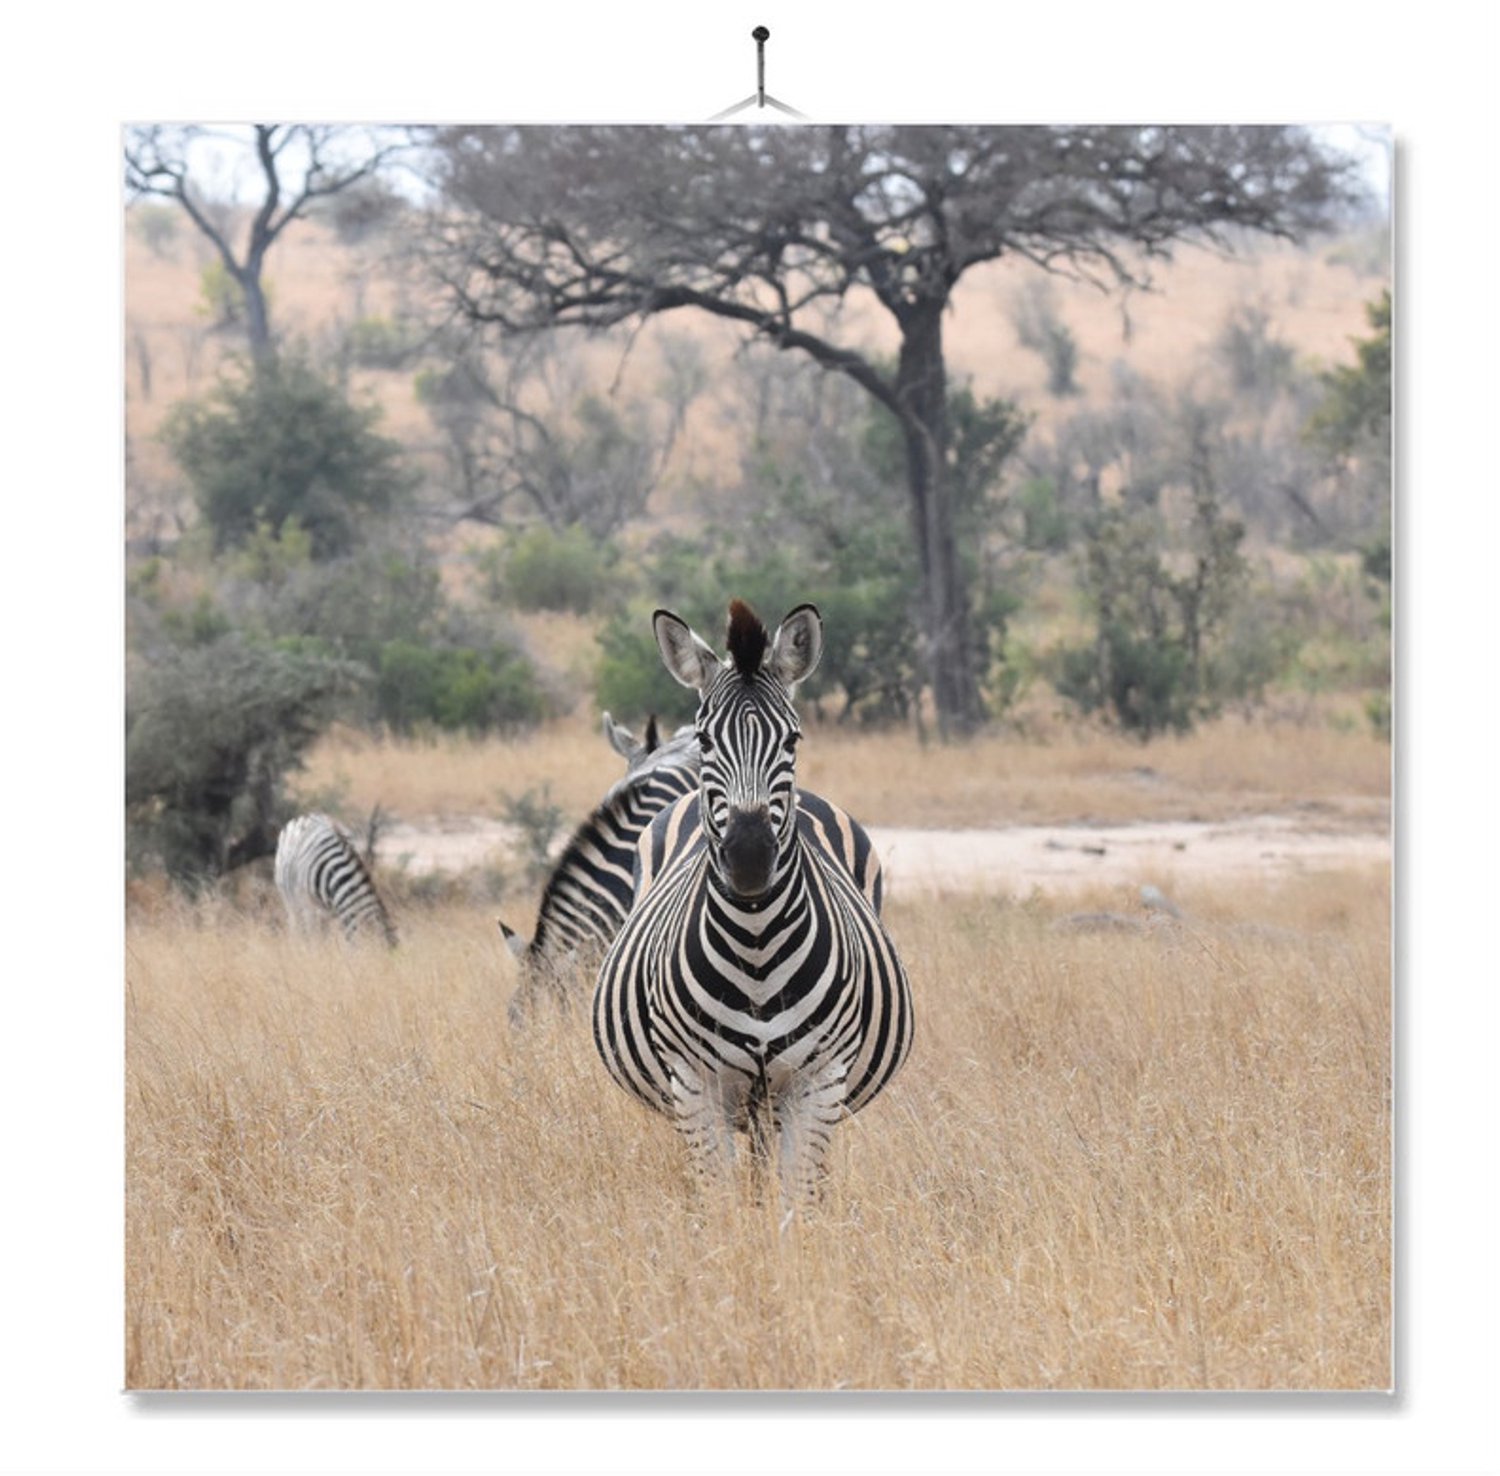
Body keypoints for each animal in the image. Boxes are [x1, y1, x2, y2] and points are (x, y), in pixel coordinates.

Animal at [274, 812, 398, 947]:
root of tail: (308, 815)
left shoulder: (338, 909)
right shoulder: (309, 908)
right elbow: (313, 940)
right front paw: (313, 952)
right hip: (292, 902)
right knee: (297, 927)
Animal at [593, 600, 913, 1206]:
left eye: (793, 740)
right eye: (705, 740)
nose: (748, 858)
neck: (757, 940)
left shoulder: (817, 1084)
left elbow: (797, 1203)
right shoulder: (696, 1085)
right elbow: (720, 1201)